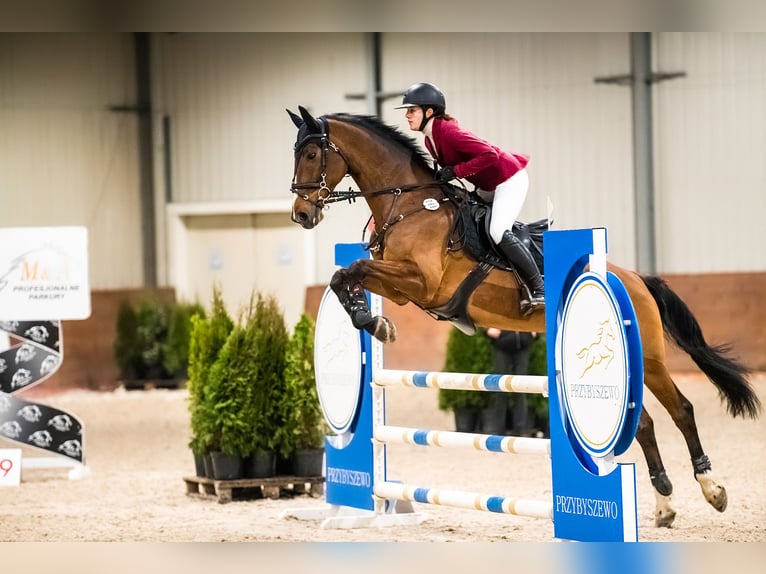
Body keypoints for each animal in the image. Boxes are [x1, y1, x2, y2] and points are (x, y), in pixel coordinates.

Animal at [286, 105, 761, 528]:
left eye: (310, 153)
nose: (302, 215)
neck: (409, 203)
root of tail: (637, 278)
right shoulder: (402, 290)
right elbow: (344, 275)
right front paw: (373, 321)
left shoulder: (421, 281)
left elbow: (352, 269)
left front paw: (373, 323)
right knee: (643, 423)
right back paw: (664, 506)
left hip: (651, 359)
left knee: (680, 410)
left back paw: (712, 490)